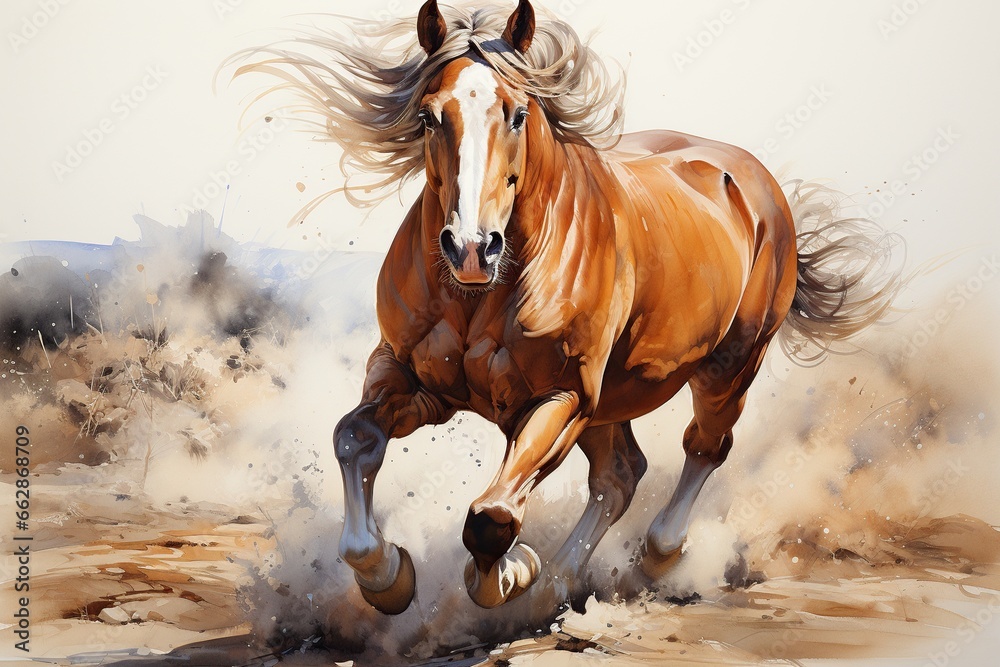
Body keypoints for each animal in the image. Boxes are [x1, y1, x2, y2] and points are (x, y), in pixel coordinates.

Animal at [236, 0, 904, 614]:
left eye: (518, 112)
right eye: (428, 116)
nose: (471, 248)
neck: (482, 296)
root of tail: (750, 178)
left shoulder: (562, 398)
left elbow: (491, 519)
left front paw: (512, 572)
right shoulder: (411, 377)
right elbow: (354, 438)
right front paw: (387, 576)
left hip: (726, 369)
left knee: (703, 448)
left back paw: (645, 563)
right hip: (615, 398)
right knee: (620, 475)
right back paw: (560, 581)